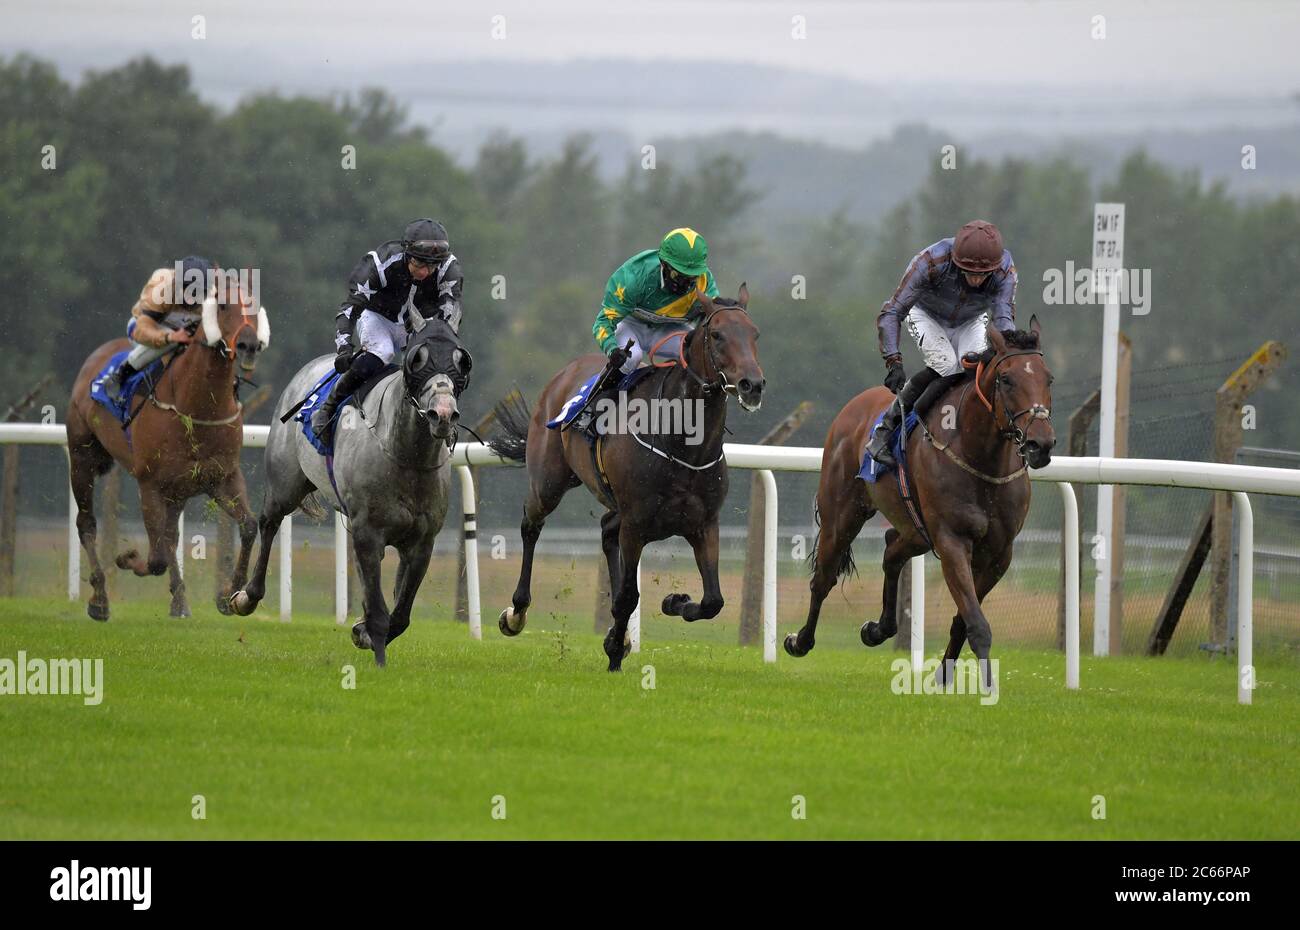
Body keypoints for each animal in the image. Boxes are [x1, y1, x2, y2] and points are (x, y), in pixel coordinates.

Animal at [67, 277, 270, 626]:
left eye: (254, 305)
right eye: (223, 306)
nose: (247, 345)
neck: (194, 405)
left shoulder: (223, 477)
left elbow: (247, 526)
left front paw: (230, 594)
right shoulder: (149, 483)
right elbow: (156, 557)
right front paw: (127, 556)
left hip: (177, 491)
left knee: (171, 536)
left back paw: (179, 603)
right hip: (81, 459)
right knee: (87, 524)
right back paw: (100, 600)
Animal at [491, 287, 764, 671]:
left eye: (755, 334)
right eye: (717, 334)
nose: (752, 385)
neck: (683, 443)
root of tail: (564, 373)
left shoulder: (705, 523)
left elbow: (713, 600)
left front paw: (672, 603)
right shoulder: (635, 523)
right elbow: (627, 597)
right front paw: (614, 655)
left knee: (606, 530)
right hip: (548, 482)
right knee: (531, 524)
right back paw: (516, 613)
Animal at [780, 316, 1055, 686]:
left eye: (1047, 378)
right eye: (1006, 379)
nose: (1041, 444)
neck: (981, 457)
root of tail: (855, 405)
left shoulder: (1000, 553)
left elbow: (964, 620)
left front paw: (944, 676)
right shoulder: (952, 541)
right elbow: (977, 623)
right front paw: (986, 686)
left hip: (916, 530)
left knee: (890, 550)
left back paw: (878, 628)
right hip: (842, 515)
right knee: (823, 577)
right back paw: (800, 640)